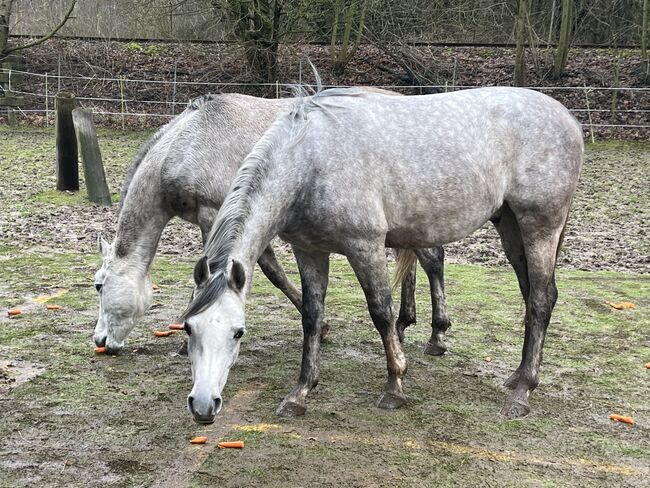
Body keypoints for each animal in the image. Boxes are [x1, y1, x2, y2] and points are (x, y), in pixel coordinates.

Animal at [92, 93, 450, 354]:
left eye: (99, 285)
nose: (99, 340)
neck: (187, 142)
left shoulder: (213, 216)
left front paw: (187, 341)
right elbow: (271, 271)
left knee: (432, 260)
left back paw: (436, 334)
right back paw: (404, 325)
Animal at [181, 86, 584, 424]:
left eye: (238, 332)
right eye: (189, 328)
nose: (203, 406)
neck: (311, 160)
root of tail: (570, 119)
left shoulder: (366, 246)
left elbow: (381, 313)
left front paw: (395, 386)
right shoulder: (309, 251)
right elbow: (311, 317)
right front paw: (300, 393)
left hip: (540, 225)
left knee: (542, 300)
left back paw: (522, 392)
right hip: (510, 227)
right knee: (532, 294)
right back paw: (517, 376)